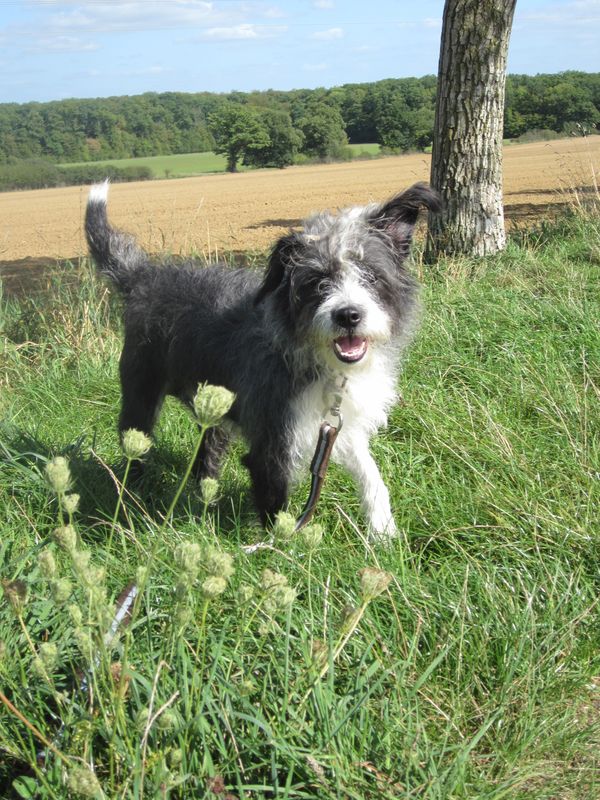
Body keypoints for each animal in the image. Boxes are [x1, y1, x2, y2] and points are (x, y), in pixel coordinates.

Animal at [85, 181, 440, 540]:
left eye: (370, 275)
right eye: (317, 282)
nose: (348, 315)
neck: (321, 362)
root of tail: (144, 275)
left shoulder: (338, 425)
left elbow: (371, 474)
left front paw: (383, 532)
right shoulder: (271, 442)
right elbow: (277, 510)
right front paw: (282, 550)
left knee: (206, 453)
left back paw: (204, 500)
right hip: (140, 396)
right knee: (135, 444)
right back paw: (133, 494)